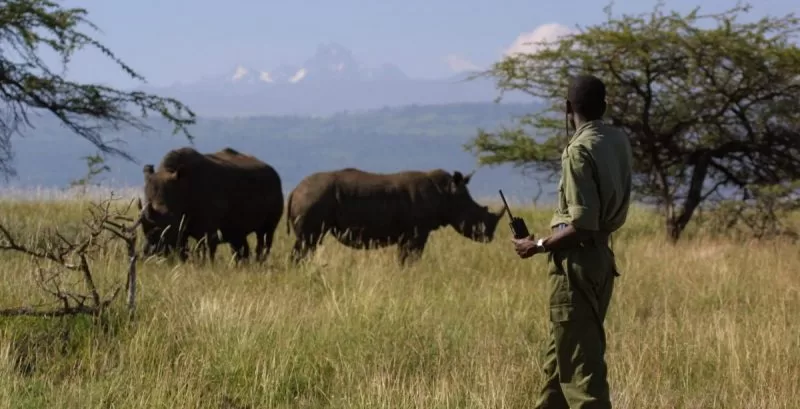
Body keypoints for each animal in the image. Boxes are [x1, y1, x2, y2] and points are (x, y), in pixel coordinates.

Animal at [131, 147, 284, 263]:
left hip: (274, 190)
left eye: (169, 215)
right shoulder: (183, 226)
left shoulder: (207, 228)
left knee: (265, 234)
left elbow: (205, 247)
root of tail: (274, 172)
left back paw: (260, 262)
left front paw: (206, 265)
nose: (150, 253)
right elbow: (183, 248)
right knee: (238, 237)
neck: (180, 188)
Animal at [285, 168, 504, 265]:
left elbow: (403, 257)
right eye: (474, 213)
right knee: (308, 242)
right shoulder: (417, 232)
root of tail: (295, 190)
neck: (447, 194)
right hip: (313, 197)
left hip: (312, 196)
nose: (489, 237)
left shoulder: (407, 234)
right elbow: (412, 257)